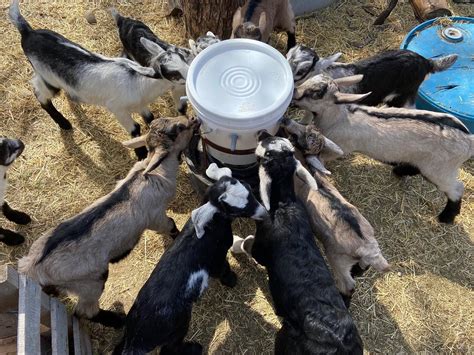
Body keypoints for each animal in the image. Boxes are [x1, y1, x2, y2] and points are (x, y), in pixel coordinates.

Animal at [114, 164, 266, 355]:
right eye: (238, 209)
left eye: (249, 190)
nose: (264, 213)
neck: (209, 227)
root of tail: (136, 340)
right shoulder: (216, 258)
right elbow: (224, 269)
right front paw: (232, 281)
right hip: (178, 326)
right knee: (169, 349)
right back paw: (194, 348)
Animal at [244, 133, 362, 355]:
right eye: (288, 149)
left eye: (267, 155)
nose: (263, 133)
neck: (284, 204)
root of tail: (339, 342)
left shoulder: (260, 248)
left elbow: (252, 250)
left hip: (284, 339)